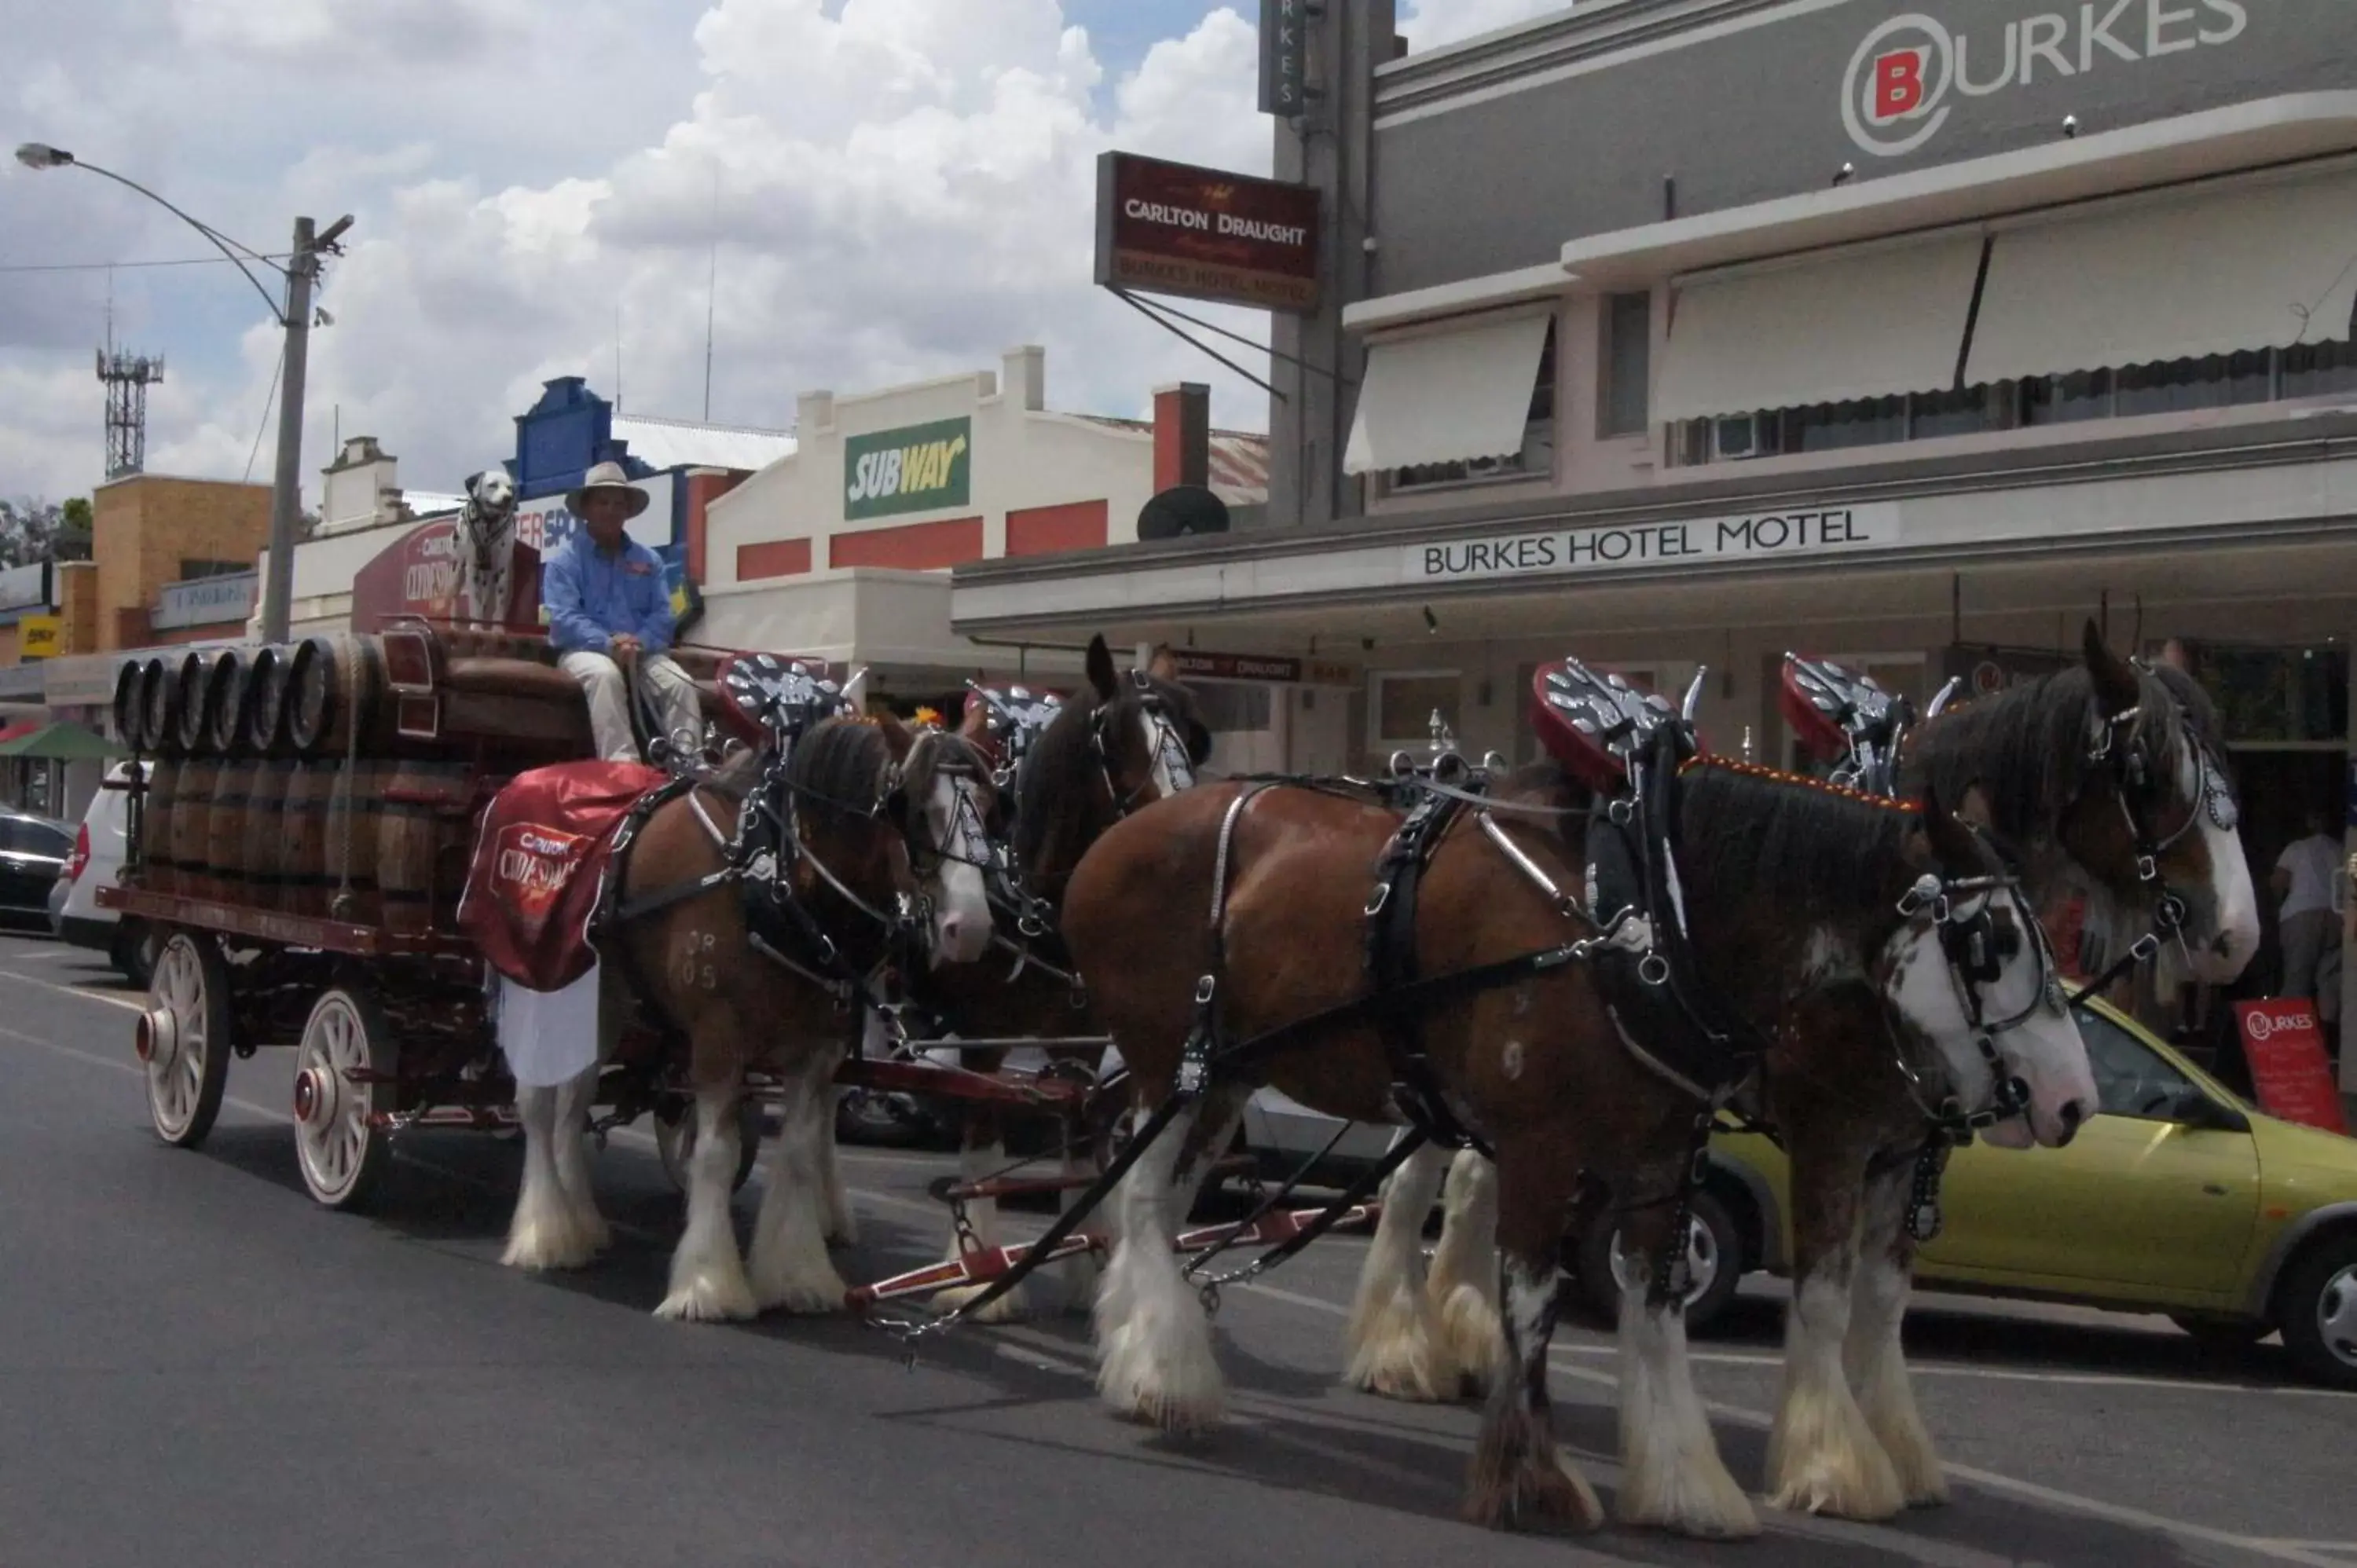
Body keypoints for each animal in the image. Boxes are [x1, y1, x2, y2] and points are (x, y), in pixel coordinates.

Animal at [457, 467, 519, 627]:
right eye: (493, 485)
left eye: (510, 488)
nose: (508, 498)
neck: (488, 524)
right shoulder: (472, 570)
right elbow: (475, 602)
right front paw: (476, 625)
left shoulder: (501, 569)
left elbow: (500, 604)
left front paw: (498, 628)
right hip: (458, 570)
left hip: (488, 578)